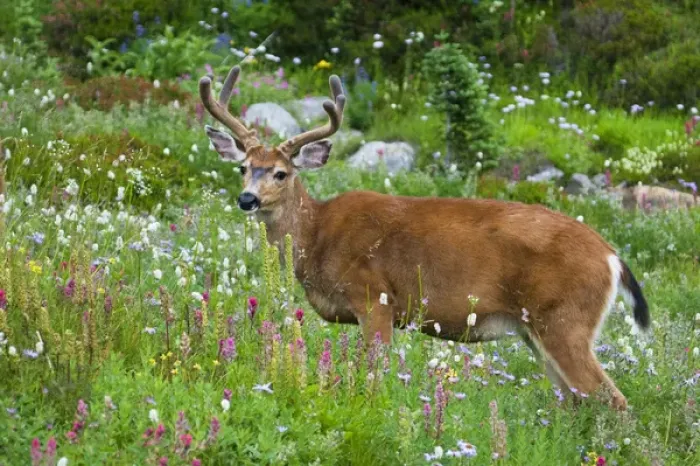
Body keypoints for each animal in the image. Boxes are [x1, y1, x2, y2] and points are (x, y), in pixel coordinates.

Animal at [199, 65, 650, 411]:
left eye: (281, 173)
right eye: (243, 167)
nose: (247, 198)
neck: (318, 235)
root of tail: (612, 257)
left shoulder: (375, 296)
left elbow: (375, 371)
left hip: (565, 318)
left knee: (614, 400)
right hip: (539, 329)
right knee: (576, 401)